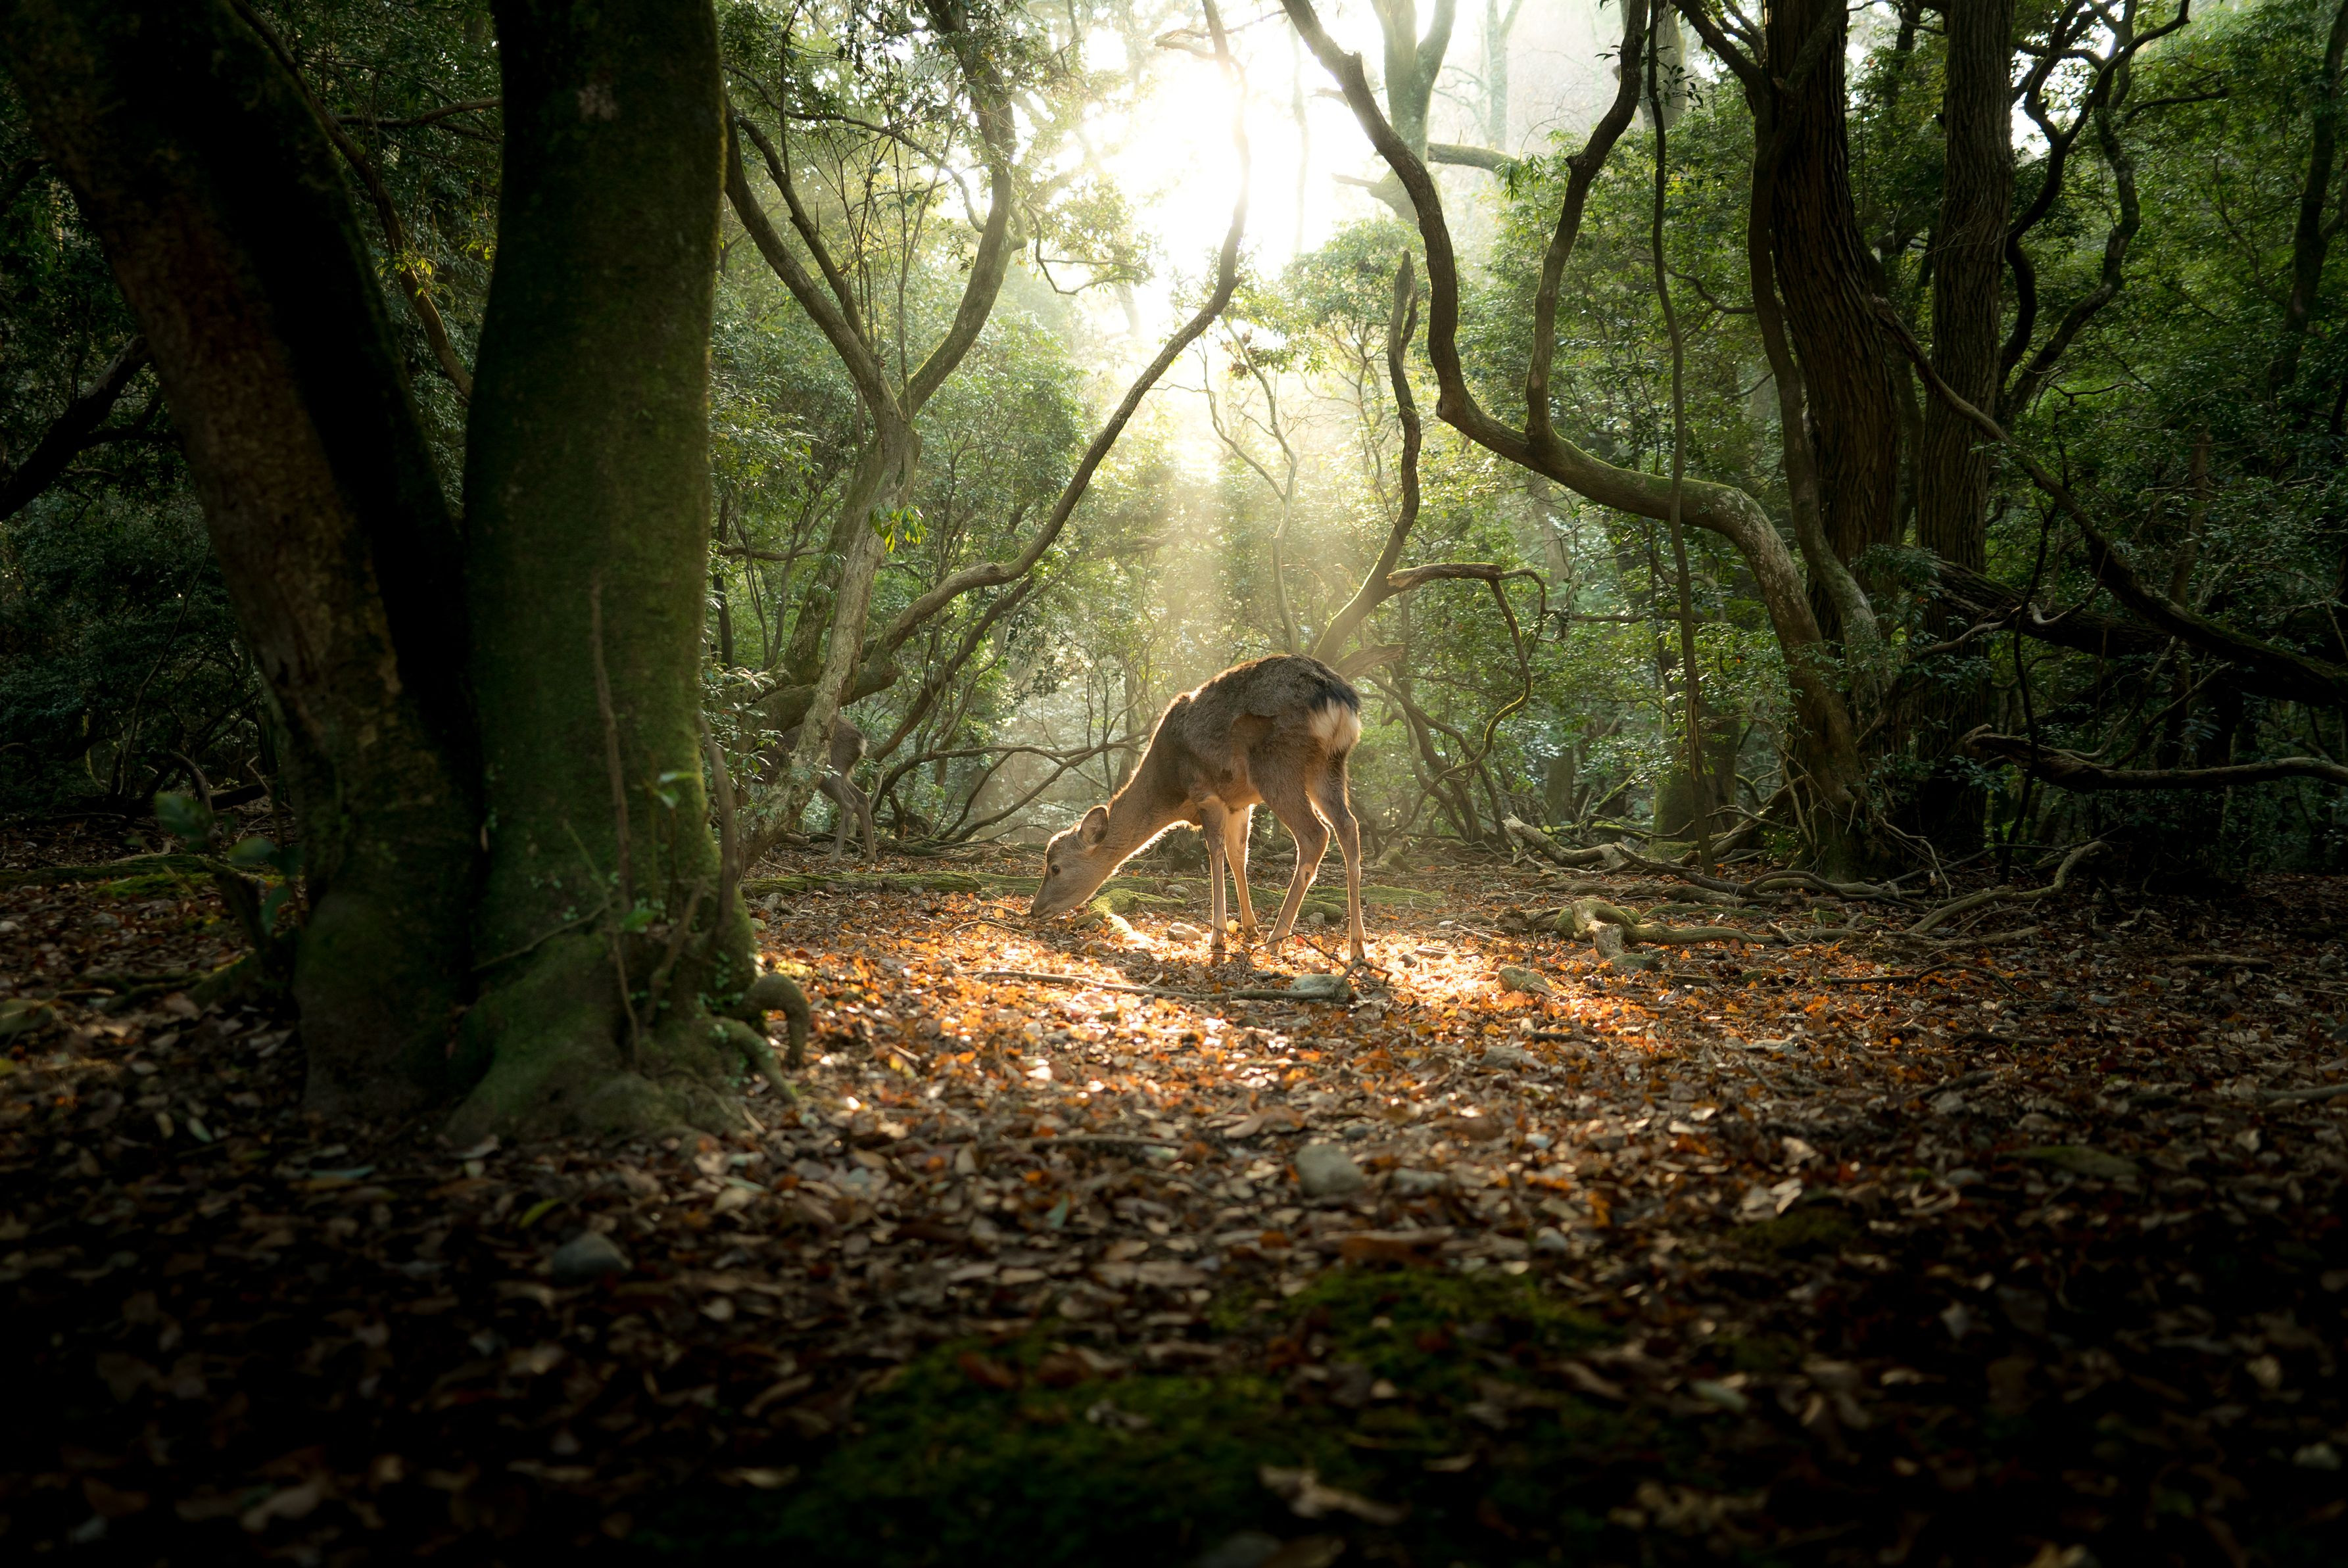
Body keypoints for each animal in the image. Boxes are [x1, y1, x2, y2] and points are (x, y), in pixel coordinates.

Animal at [763, 718, 876, 860]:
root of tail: (862, 742)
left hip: (832, 769)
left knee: (849, 801)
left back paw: (835, 856)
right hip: (844, 772)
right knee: (863, 798)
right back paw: (870, 856)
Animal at [1030, 655, 1368, 964]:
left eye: (1055, 867)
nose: (1034, 909)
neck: (1171, 791)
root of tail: (1338, 698)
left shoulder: (1206, 792)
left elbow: (1215, 852)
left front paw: (1218, 935)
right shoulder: (1239, 804)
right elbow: (1238, 855)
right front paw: (1249, 928)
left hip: (1277, 764)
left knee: (1316, 834)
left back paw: (1276, 939)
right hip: (1330, 765)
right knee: (1349, 826)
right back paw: (1357, 946)